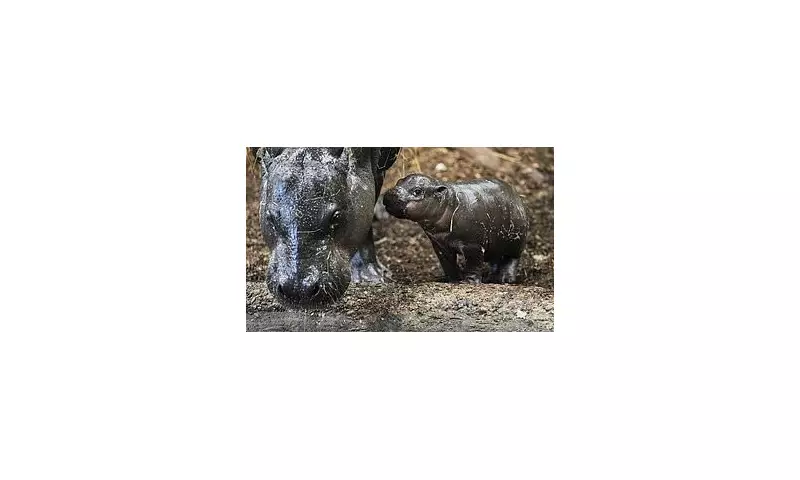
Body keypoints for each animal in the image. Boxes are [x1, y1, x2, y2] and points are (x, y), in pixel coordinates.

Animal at [383, 174, 528, 284]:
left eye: (417, 191)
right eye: (399, 181)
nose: (390, 194)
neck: (449, 202)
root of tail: (517, 196)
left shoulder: (473, 245)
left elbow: (473, 264)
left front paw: (468, 282)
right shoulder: (439, 244)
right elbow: (448, 264)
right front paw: (452, 280)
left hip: (515, 242)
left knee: (511, 260)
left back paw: (505, 279)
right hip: (495, 244)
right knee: (496, 260)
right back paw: (491, 278)